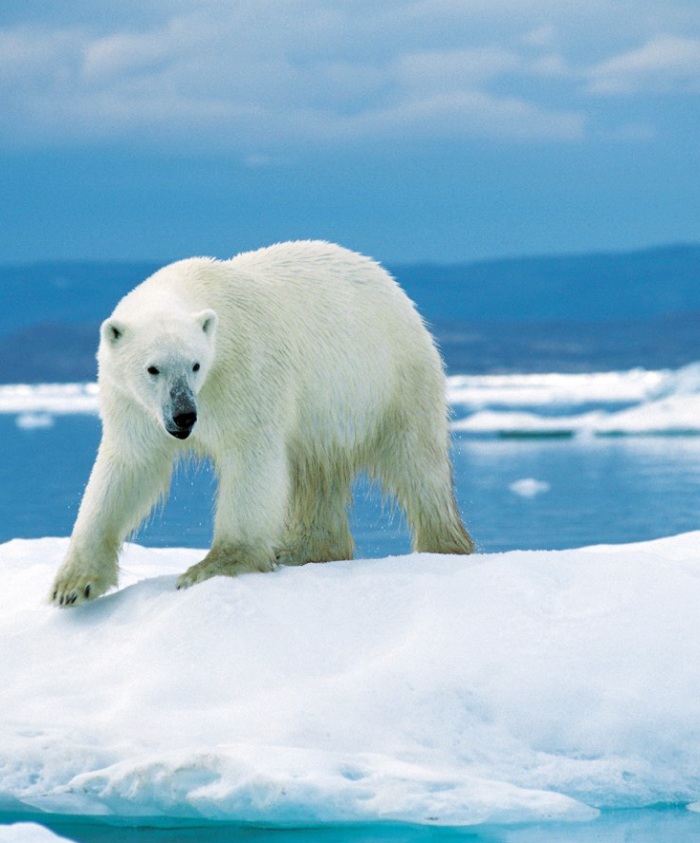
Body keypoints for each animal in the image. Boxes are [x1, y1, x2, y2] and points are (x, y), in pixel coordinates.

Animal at [50, 241, 474, 606]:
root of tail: (390, 284)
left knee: (417, 464)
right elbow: (127, 468)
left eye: (195, 365)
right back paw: (306, 549)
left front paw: (212, 566)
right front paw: (73, 586)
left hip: (389, 378)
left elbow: (250, 458)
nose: (185, 415)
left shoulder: (245, 370)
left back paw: (443, 545)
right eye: (152, 368)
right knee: (315, 475)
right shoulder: (133, 406)